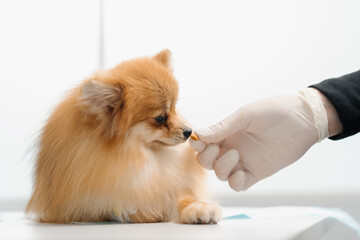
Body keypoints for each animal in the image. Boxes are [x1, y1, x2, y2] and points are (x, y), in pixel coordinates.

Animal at [25, 49, 221, 224]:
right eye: (160, 118)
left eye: (174, 108)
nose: (188, 131)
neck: (136, 157)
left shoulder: (170, 187)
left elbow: (184, 197)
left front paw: (199, 208)